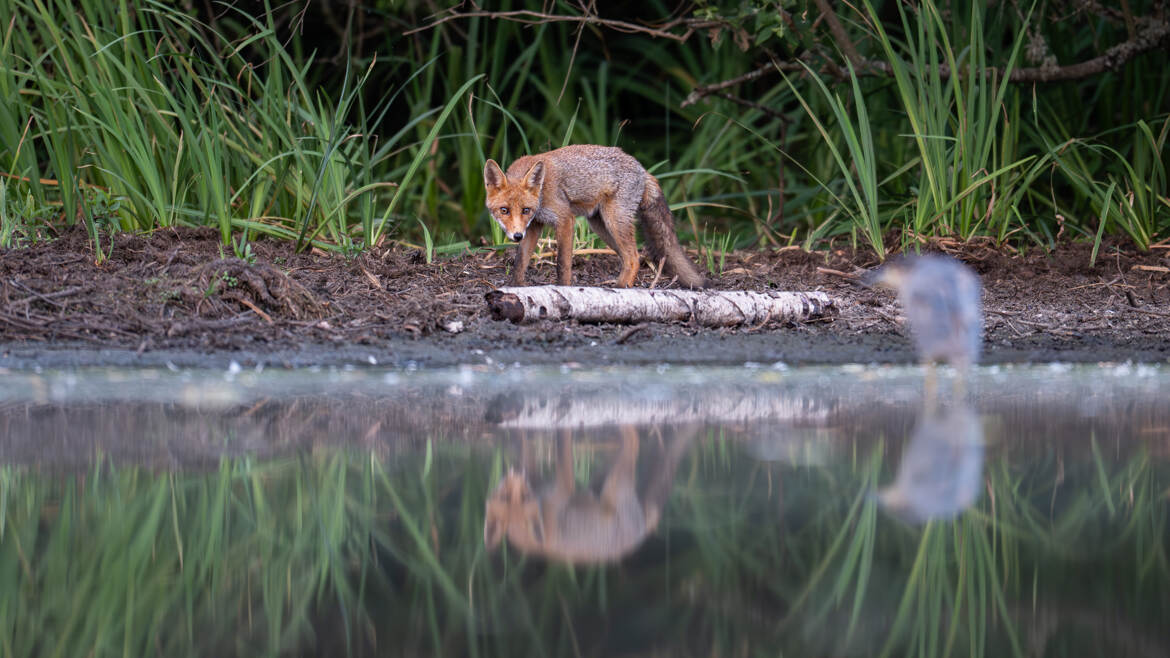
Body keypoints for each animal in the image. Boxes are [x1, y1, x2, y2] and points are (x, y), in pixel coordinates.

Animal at [483, 144, 707, 289]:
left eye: (525, 210)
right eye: (504, 210)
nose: (516, 236)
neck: (542, 191)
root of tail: (643, 170)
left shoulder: (565, 219)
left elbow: (562, 263)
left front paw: (564, 288)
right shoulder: (534, 226)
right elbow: (521, 261)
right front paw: (516, 287)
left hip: (614, 221)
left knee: (634, 257)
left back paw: (621, 288)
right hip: (601, 226)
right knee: (631, 257)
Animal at [483, 425, 695, 564]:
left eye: (524, 496)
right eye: (504, 496)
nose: (514, 476)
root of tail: (640, 537)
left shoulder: (559, 489)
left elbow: (559, 446)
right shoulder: (546, 483)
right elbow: (526, 449)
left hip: (612, 483)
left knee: (633, 440)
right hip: (603, 484)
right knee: (631, 442)